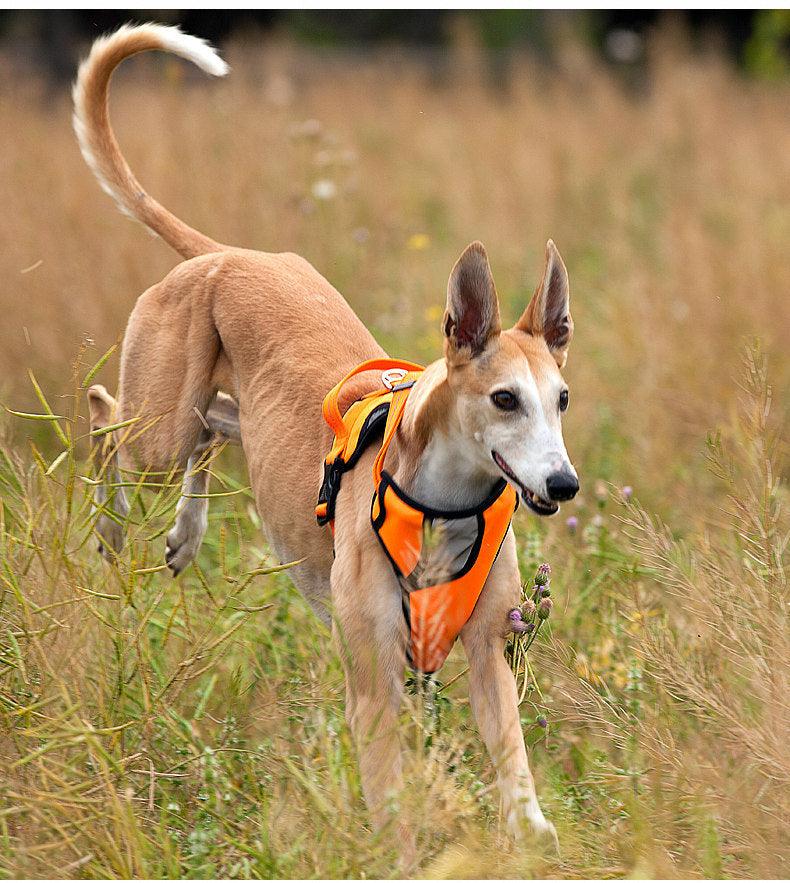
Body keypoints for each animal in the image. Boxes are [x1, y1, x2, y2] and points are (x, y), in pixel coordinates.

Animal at [76, 25, 580, 856]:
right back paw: (116, 526)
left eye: (562, 400)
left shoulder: (484, 655)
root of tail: (227, 254)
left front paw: (536, 832)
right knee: (105, 415)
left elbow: (512, 763)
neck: (439, 505)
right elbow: (391, 802)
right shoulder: (373, 680)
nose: (563, 484)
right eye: (505, 399)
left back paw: (186, 531)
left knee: (208, 429)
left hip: (230, 416)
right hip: (156, 425)